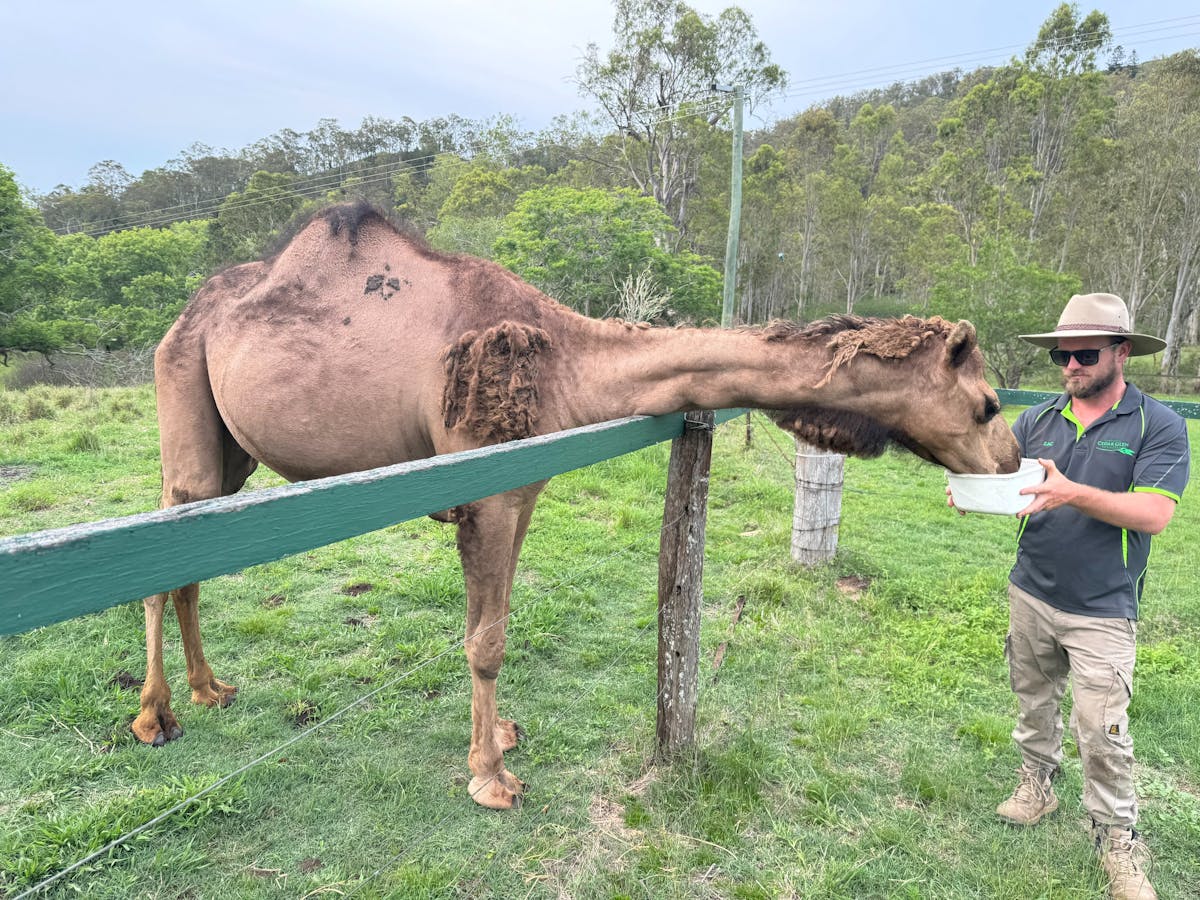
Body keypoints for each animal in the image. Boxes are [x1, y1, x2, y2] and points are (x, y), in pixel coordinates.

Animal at [137, 202, 1019, 810]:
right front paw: (492, 778)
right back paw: (155, 718)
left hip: (232, 446)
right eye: (986, 403)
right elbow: (487, 639)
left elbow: (490, 620)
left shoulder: (522, 489)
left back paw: (210, 690)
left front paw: (496, 737)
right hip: (182, 392)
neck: (568, 362)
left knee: (188, 553)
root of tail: (185, 315)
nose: (1011, 460)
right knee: (157, 551)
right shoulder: (485, 487)